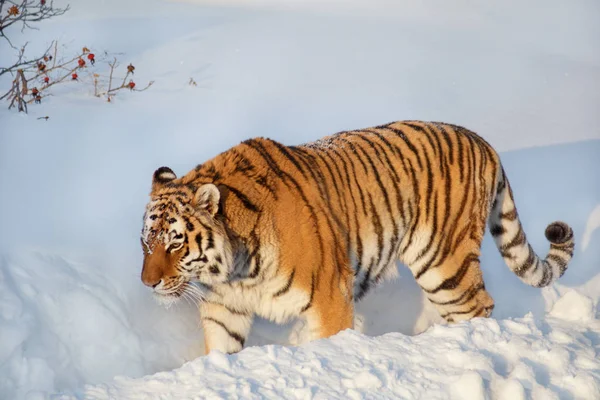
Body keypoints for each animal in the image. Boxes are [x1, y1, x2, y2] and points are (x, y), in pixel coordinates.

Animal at [138, 120, 576, 354]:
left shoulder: (329, 299)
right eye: (147, 242)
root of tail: (483, 141)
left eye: (175, 241)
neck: (235, 268)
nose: (148, 284)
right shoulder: (224, 307)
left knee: (477, 307)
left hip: (444, 265)